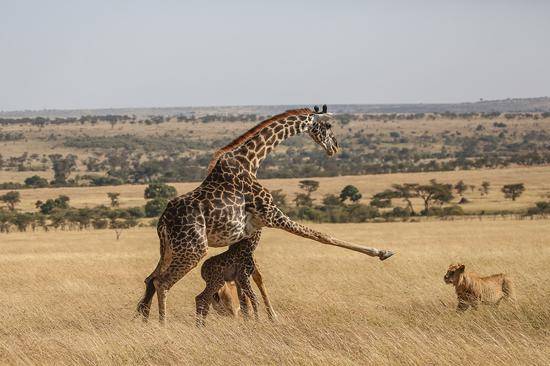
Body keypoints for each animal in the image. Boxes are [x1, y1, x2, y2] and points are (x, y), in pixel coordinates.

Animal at [138, 104, 396, 322]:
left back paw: (145, 319)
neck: (251, 161)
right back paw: (163, 325)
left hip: (171, 250)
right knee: (163, 283)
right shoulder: (271, 214)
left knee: (151, 278)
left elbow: (256, 276)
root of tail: (162, 222)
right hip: (194, 249)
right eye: (328, 126)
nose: (334, 147)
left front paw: (265, 316)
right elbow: (321, 235)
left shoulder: (251, 231)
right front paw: (382, 252)